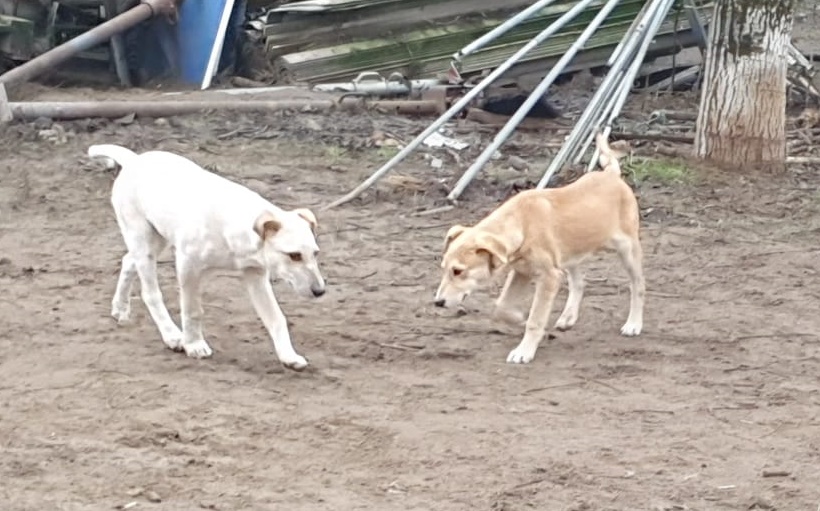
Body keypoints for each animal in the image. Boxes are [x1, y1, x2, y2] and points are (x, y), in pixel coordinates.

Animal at [88, 144, 325, 371]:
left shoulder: (255, 275)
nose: (320, 291)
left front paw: (289, 356)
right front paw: (194, 345)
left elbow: (276, 318)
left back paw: (120, 307)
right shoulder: (188, 266)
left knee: (128, 261)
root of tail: (134, 159)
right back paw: (172, 335)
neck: (237, 229)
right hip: (143, 241)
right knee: (150, 293)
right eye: (294, 255)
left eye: (315, 253)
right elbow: (193, 310)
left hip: (157, 240)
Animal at [434, 132, 645, 364]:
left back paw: (634, 324)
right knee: (579, 283)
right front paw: (520, 319)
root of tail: (611, 174)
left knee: (638, 286)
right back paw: (568, 317)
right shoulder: (522, 272)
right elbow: (502, 308)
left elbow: (535, 319)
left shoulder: (549, 277)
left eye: (457, 271)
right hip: (568, 255)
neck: (521, 224)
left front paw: (524, 351)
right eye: (444, 269)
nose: (438, 302)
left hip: (627, 250)